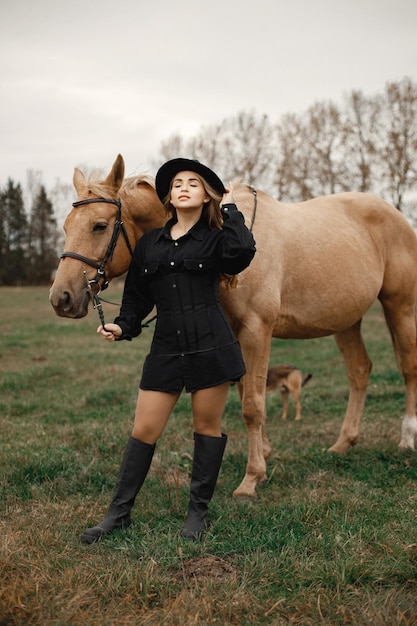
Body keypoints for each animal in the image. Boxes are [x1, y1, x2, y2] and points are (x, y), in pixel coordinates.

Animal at [49, 152, 417, 498]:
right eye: (67, 226)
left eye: (99, 225)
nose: (61, 298)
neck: (220, 240)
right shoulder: (234, 336)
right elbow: (245, 392)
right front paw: (264, 455)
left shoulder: (258, 330)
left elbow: (253, 405)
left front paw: (251, 479)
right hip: (347, 321)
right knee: (359, 371)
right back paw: (344, 443)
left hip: (400, 306)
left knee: (408, 367)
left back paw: (407, 438)